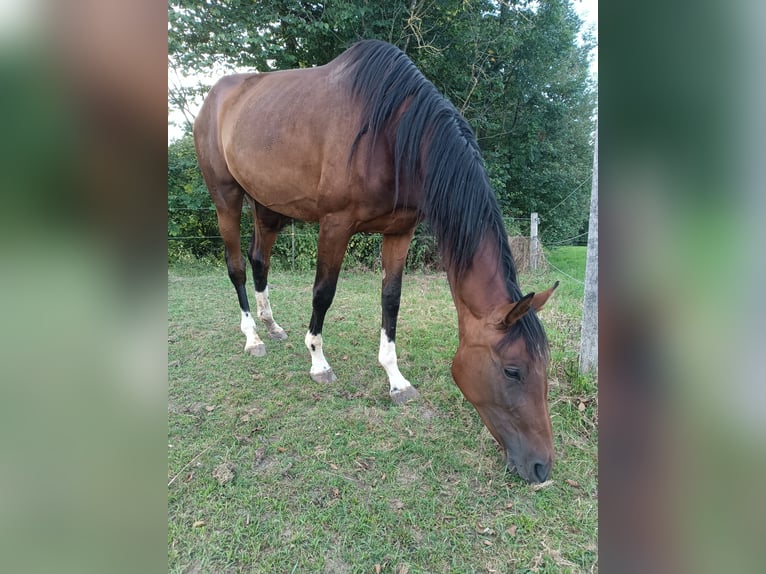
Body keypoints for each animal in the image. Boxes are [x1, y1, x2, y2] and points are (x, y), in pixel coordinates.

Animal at [195, 38, 560, 484]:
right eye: (512, 370)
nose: (542, 467)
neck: (392, 133)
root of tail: (215, 96)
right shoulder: (335, 224)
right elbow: (323, 293)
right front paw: (318, 362)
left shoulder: (399, 232)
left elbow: (391, 300)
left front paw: (396, 379)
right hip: (226, 198)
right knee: (237, 267)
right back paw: (253, 337)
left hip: (267, 206)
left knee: (259, 260)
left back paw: (272, 325)